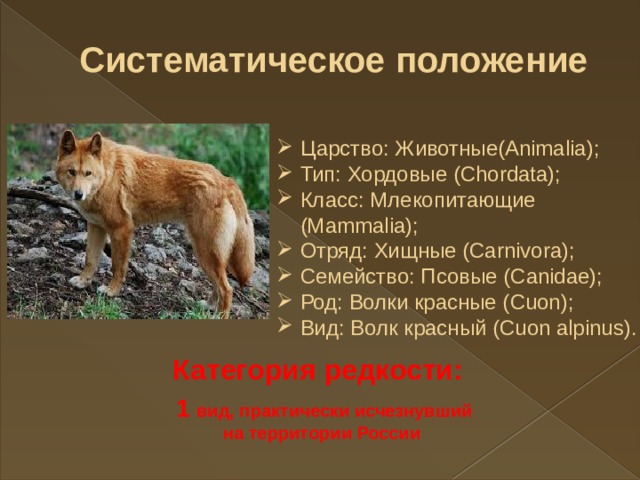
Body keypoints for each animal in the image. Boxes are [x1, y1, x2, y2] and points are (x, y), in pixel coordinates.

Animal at [55, 130, 255, 319]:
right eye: (71, 172)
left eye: (88, 173)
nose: (78, 194)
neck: (106, 175)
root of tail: (226, 180)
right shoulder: (96, 227)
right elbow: (90, 260)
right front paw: (83, 281)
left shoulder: (121, 229)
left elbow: (117, 267)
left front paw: (112, 291)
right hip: (204, 252)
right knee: (218, 286)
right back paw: (208, 306)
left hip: (206, 251)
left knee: (227, 289)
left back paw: (219, 316)